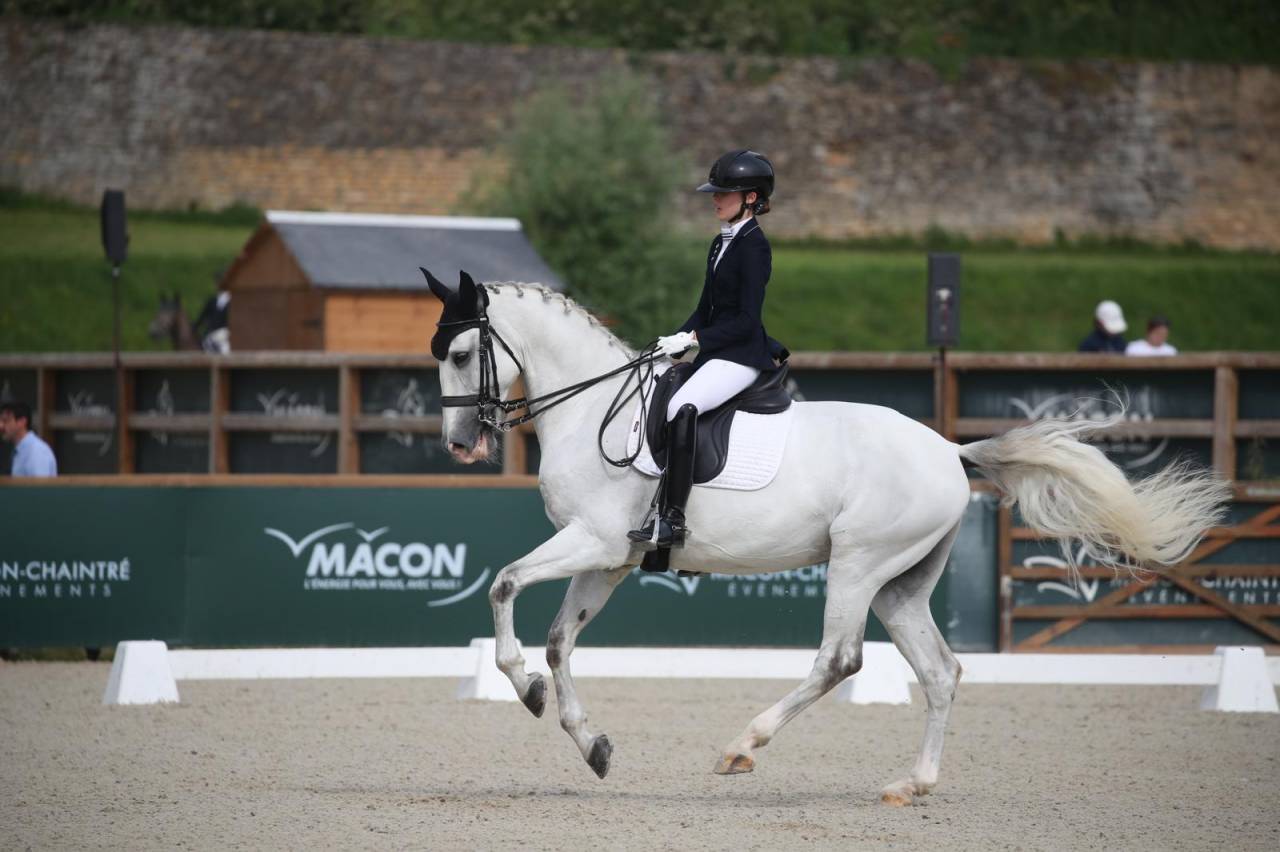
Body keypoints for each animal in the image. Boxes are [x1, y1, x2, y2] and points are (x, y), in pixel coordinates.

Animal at [426, 271, 1228, 805]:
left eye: (462, 355)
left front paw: (522, 686)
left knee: (840, 659)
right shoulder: (612, 556)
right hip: (902, 584)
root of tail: (949, 451)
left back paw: (741, 748)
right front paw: (588, 741)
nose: (462, 443)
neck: (594, 407)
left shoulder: (592, 541)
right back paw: (912, 783)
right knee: (940, 672)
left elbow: (504, 585)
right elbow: (561, 640)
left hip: (858, 564)